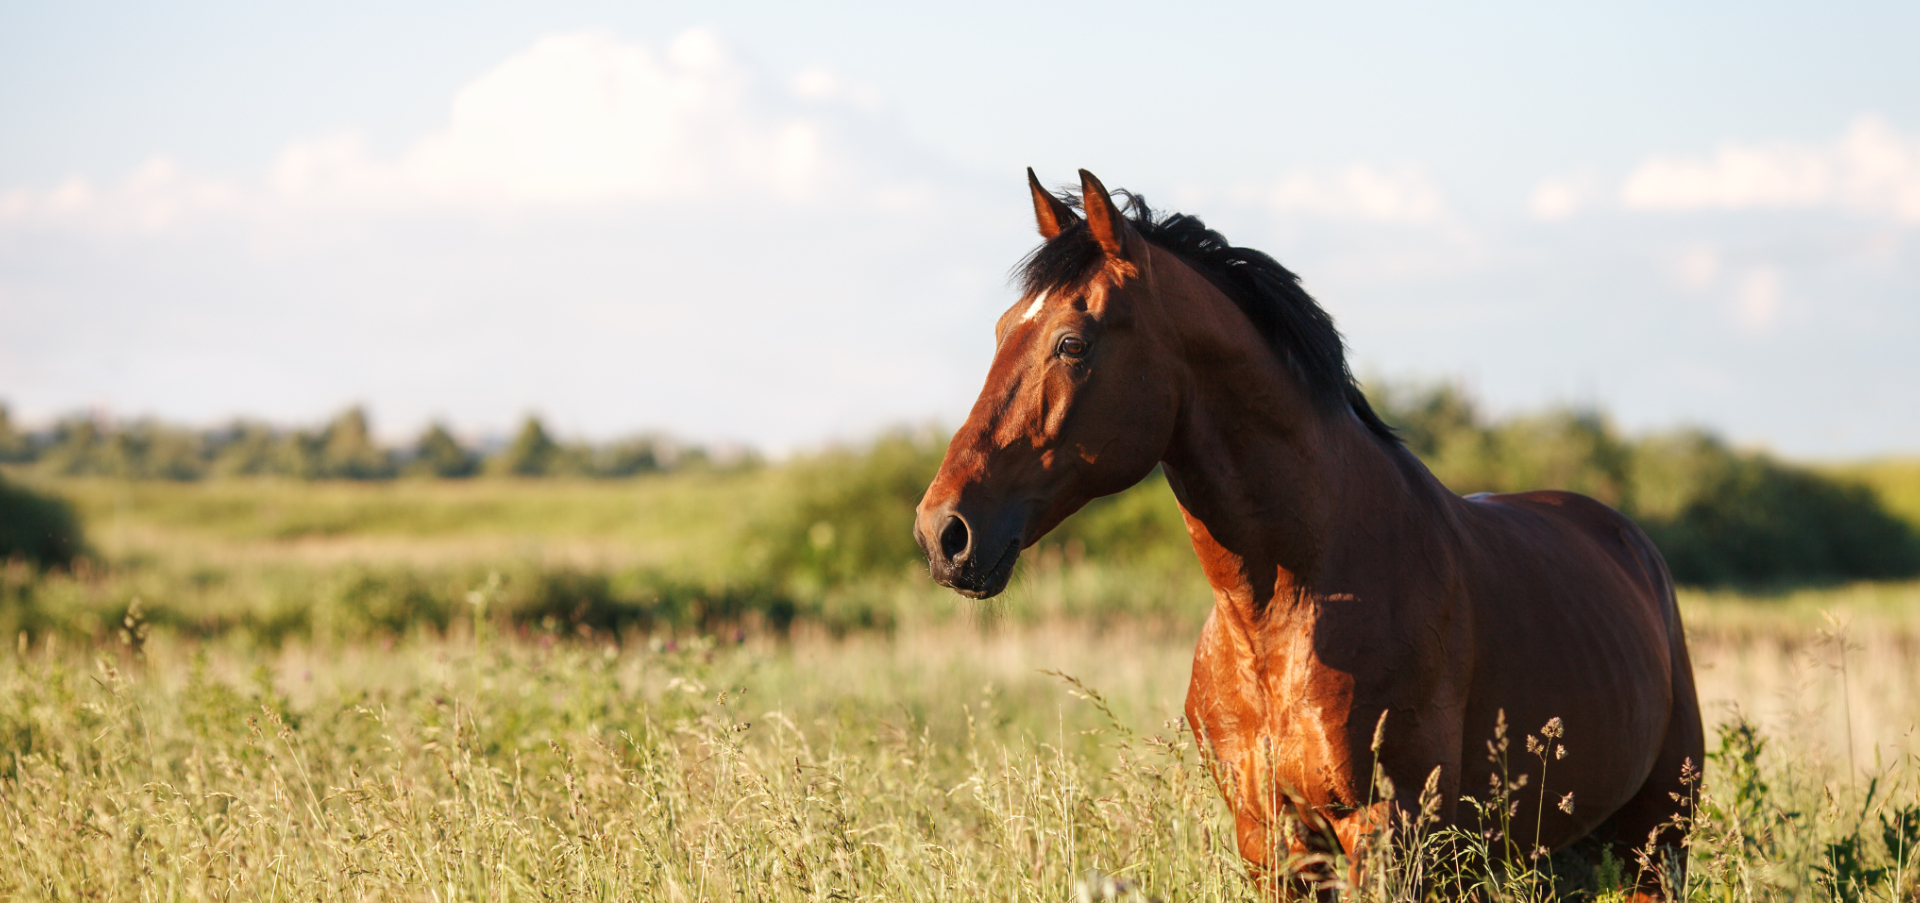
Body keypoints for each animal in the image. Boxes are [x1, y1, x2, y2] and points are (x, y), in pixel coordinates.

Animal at [913, 169, 1703, 898]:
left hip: (1654, 844)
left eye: (1072, 343)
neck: (1287, 609)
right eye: (1002, 329)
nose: (943, 532)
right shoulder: (1270, 840)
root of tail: (1628, 542)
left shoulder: (1386, 834)